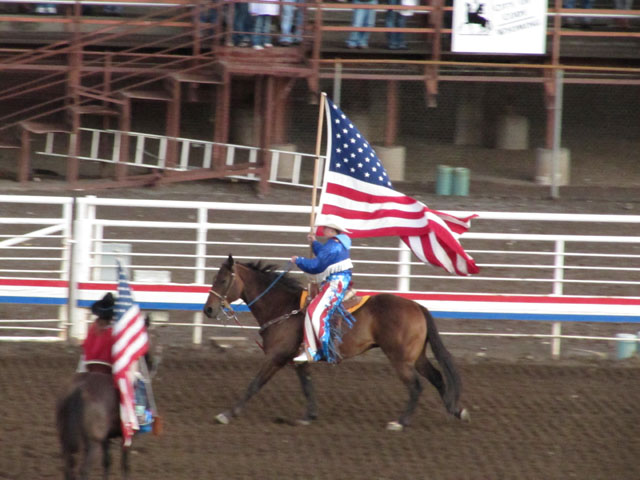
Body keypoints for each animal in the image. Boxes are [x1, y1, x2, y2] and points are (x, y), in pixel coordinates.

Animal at [202, 255, 468, 432]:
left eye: (223, 280)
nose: (208, 309)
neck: (283, 307)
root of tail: (417, 306)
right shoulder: (298, 360)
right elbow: (307, 386)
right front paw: (308, 416)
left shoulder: (275, 357)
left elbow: (254, 384)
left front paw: (227, 414)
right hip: (417, 356)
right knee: (437, 377)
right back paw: (455, 411)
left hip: (401, 359)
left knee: (416, 386)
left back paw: (400, 422)